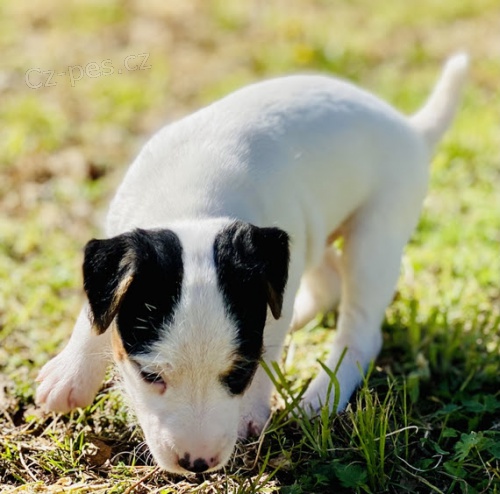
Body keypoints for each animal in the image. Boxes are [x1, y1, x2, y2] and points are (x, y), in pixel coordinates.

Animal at [36, 54, 468, 474]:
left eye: (238, 374)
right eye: (151, 376)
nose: (197, 464)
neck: (193, 205)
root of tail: (411, 128)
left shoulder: (278, 282)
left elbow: (268, 345)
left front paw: (250, 411)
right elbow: (95, 312)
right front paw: (70, 373)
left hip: (374, 235)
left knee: (360, 331)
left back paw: (321, 395)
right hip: (313, 235)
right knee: (326, 279)